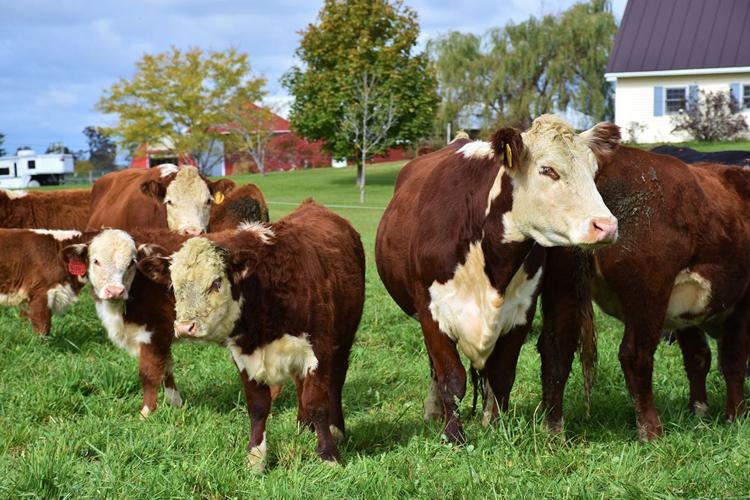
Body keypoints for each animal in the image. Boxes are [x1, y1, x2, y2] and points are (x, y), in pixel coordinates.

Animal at [139, 200, 365, 470]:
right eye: (174, 285)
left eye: (216, 282)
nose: (185, 328)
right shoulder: (244, 356)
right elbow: (258, 406)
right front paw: (256, 456)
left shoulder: (319, 350)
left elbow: (318, 403)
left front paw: (328, 454)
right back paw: (302, 424)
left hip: (344, 339)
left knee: (336, 381)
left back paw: (336, 428)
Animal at [375, 115, 619, 443]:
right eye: (548, 169)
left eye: (593, 172)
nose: (606, 226)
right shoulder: (431, 312)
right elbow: (451, 378)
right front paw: (454, 437)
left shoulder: (519, 312)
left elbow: (502, 374)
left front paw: (495, 428)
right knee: (434, 369)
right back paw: (433, 412)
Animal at [539, 145, 750, 441]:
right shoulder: (741, 305)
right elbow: (733, 361)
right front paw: (736, 417)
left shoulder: (687, 314)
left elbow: (698, 358)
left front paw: (699, 412)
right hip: (648, 295)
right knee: (634, 354)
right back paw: (651, 430)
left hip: (564, 288)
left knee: (556, 350)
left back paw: (554, 432)